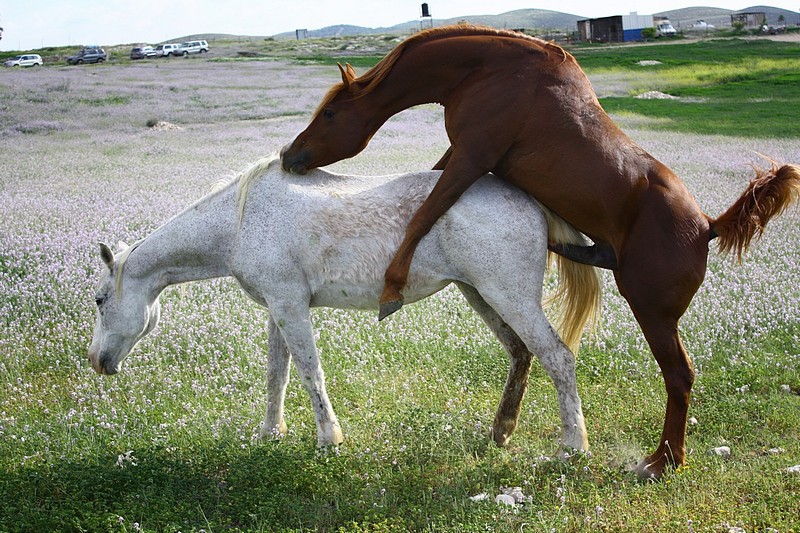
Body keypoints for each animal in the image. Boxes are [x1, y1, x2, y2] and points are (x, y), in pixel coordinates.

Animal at [89, 157, 600, 454]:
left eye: (98, 299)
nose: (96, 361)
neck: (239, 221)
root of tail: (530, 199)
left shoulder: (291, 306)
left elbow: (309, 372)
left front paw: (327, 439)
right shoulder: (278, 307)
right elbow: (277, 374)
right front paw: (269, 433)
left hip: (509, 296)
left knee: (558, 357)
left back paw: (573, 446)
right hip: (480, 293)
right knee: (521, 354)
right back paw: (501, 431)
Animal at [282, 25, 800, 476]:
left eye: (330, 114)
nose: (290, 155)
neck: (488, 70)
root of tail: (707, 226)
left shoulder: (470, 157)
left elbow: (423, 214)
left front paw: (391, 286)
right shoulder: (460, 158)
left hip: (652, 312)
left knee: (679, 376)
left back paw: (662, 461)